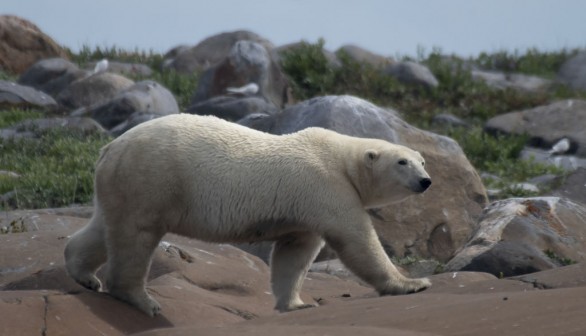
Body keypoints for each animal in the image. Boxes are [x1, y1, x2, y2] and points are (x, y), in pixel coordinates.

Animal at [64, 114, 432, 316]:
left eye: (422, 160)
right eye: (402, 162)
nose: (426, 181)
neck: (342, 158)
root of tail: (110, 148)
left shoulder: (305, 207)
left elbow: (294, 253)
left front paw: (297, 304)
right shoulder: (326, 186)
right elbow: (357, 241)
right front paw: (413, 283)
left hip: (123, 183)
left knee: (106, 227)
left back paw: (84, 274)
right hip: (153, 177)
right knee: (137, 235)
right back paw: (142, 300)